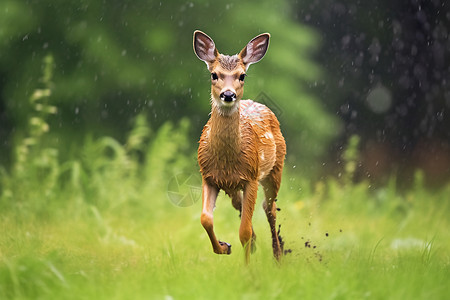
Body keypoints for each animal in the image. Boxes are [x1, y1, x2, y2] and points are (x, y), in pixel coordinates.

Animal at [192, 30, 284, 264]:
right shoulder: (208, 176)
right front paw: (224, 247)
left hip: (275, 170)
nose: (228, 94)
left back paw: (278, 255)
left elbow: (244, 231)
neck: (226, 161)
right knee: (242, 205)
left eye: (242, 76)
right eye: (214, 74)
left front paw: (247, 269)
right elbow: (205, 218)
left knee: (269, 208)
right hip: (233, 186)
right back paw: (258, 245)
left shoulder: (251, 176)